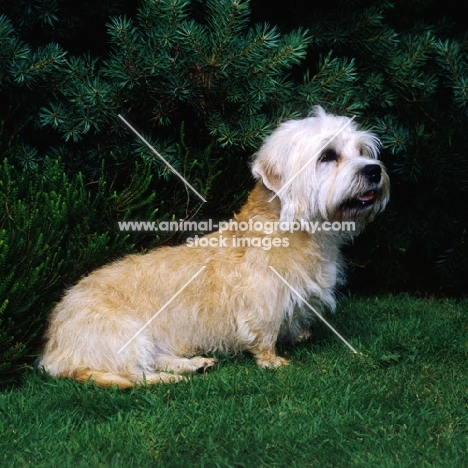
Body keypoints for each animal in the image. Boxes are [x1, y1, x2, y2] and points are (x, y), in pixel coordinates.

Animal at [38, 107, 390, 388]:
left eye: (361, 149)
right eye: (327, 155)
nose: (374, 170)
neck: (295, 229)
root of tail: (53, 350)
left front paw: (298, 334)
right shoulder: (263, 304)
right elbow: (265, 334)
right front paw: (273, 360)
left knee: (154, 360)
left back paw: (195, 364)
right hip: (125, 335)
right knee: (136, 375)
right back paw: (172, 379)